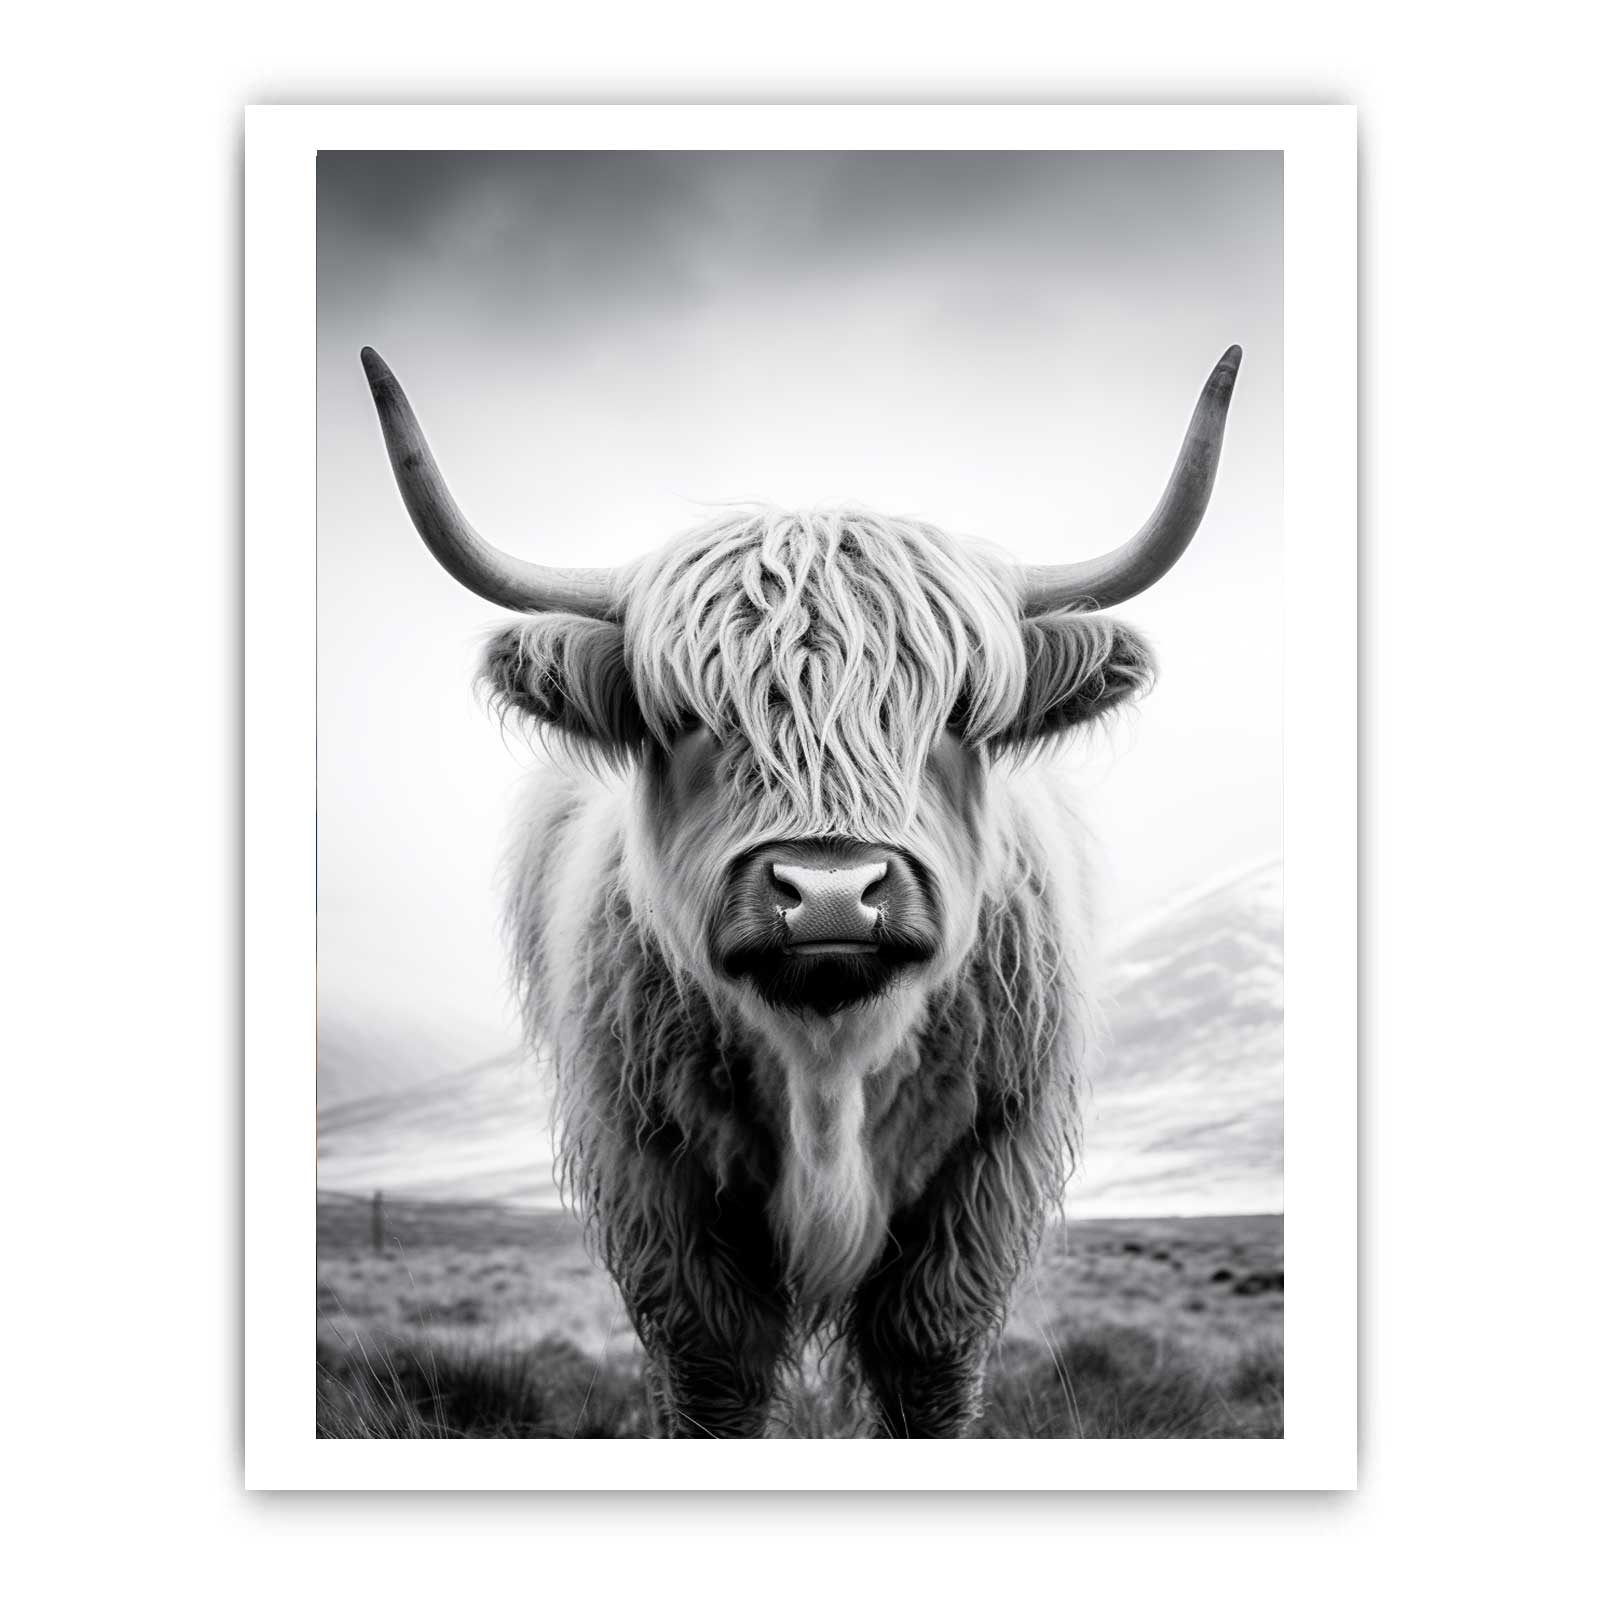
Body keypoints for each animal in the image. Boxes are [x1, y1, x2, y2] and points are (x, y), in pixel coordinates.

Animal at [361, 344, 1241, 1437]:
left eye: (957, 711)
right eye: (687, 716)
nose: (829, 891)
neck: (828, 1064)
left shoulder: (983, 1178)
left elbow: (926, 1365)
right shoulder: (657, 1183)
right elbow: (713, 1376)